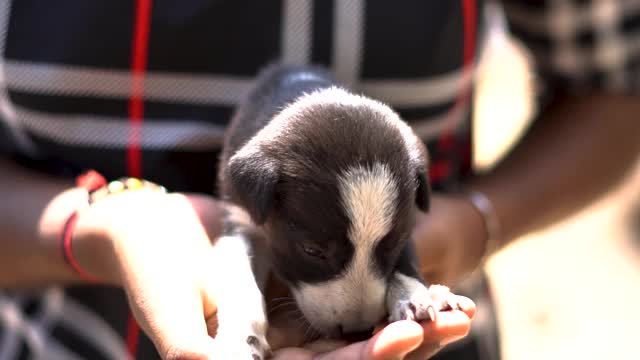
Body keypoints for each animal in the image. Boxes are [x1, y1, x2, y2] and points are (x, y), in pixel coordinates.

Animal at [214, 64, 460, 358]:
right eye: (312, 251)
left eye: (393, 246)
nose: (357, 332)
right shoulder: (239, 219)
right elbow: (239, 281)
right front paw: (241, 339)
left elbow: (407, 260)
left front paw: (414, 295)